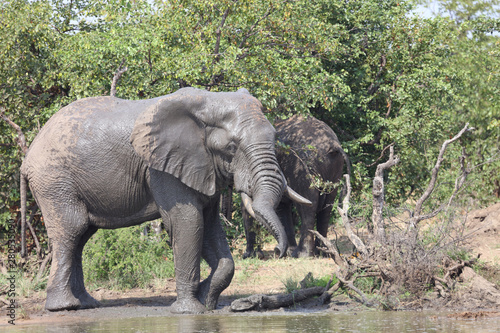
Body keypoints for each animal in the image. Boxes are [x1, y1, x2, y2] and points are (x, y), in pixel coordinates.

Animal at [21, 87, 310, 312]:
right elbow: (188, 221)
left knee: (82, 236)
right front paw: (190, 310)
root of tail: (27, 157)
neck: (208, 101)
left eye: (275, 137)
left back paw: (87, 304)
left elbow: (210, 227)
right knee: (72, 230)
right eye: (231, 147)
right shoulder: (162, 168)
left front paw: (207, 301)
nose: (278, 252)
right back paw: (64, 307)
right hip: (55, 182)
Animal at [243, 114, 348, 256]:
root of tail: (333, 146)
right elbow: (282, 206)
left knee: (308, 206)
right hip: (335, 167)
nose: (276, 250)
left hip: (303, 166)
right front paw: (286, 251)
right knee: (327, 206)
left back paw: (302, 254)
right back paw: (322, 252)